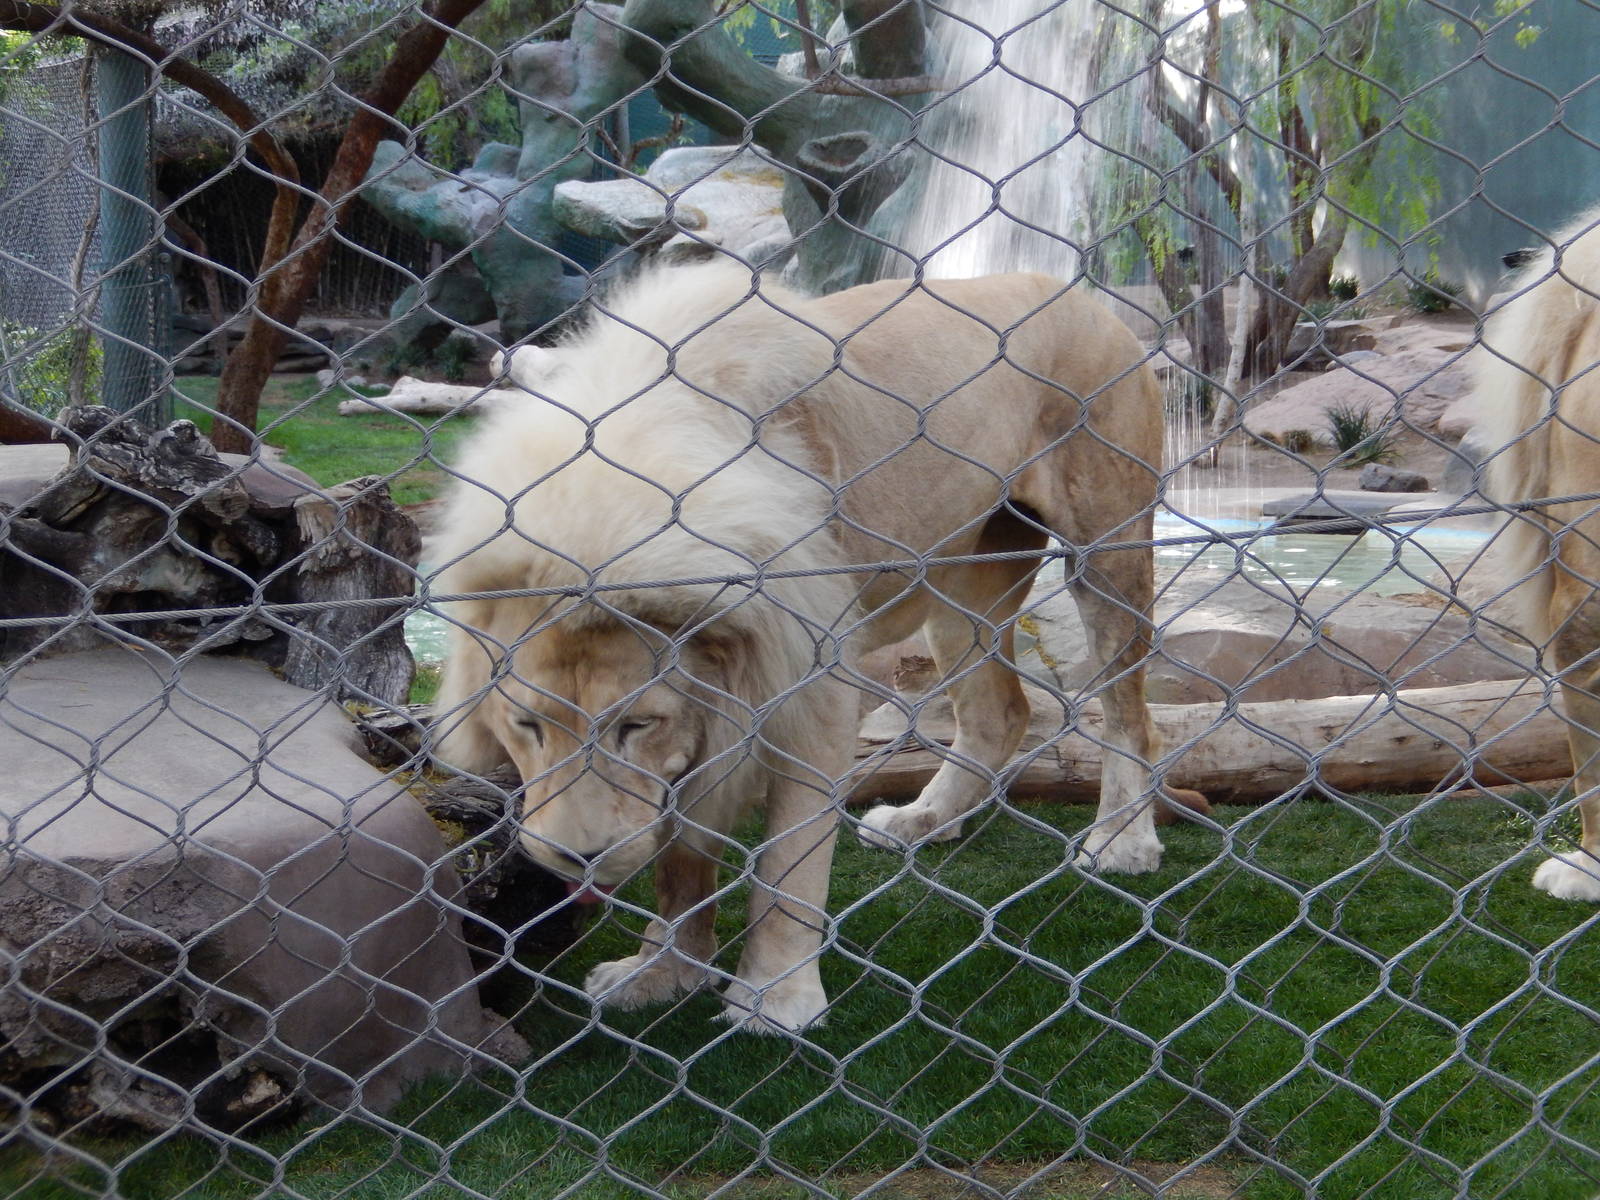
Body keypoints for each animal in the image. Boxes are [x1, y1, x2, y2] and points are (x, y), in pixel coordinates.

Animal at [430, 262, 1175, 1032]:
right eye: (526, 726)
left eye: (636, 724)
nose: (578, 859)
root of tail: (1078, 293)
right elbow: (681, 857)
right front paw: (665, 970)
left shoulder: (809, 683)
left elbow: (787, 859)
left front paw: (775, 998)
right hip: (964, 579)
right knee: (999, 711)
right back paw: (922, 820)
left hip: (1104, 548)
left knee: (1130, 712)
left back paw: (1122, 842)